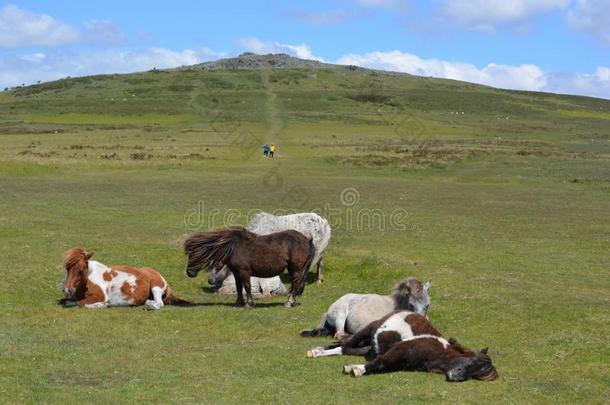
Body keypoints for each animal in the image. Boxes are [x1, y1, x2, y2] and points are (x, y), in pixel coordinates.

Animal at [59, 246, 189, 310]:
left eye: (80, 270)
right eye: (67, 268)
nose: (67, 290)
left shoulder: (99, 296)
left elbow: (80, 303)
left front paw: (104, 304)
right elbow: (67, 301)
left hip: (156, 286)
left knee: (159, 303)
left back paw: (149, 304)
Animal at [183, 226, 316, 308]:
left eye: (194, 255)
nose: (189, 273)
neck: (234, 248)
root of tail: (307, 239)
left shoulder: (244, 272)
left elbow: (247, 286)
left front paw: (249, 303)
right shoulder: (236, 273)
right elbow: (238, 287)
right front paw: (239, 303)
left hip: (296, 269)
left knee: (295, 284)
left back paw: (289, 302)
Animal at [304, 310, 494, 382]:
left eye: (478, 374)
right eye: (475, 362)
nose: (458, 377)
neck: (440, 352)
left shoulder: (402, 361)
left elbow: (381, 364)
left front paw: (352, 367)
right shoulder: (401, 349)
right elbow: (380, 364)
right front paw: (357, 369)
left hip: (369, 348)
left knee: (345, 349)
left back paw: (318, 352)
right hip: (367, 330)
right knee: (344, 345)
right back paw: (316, 351)